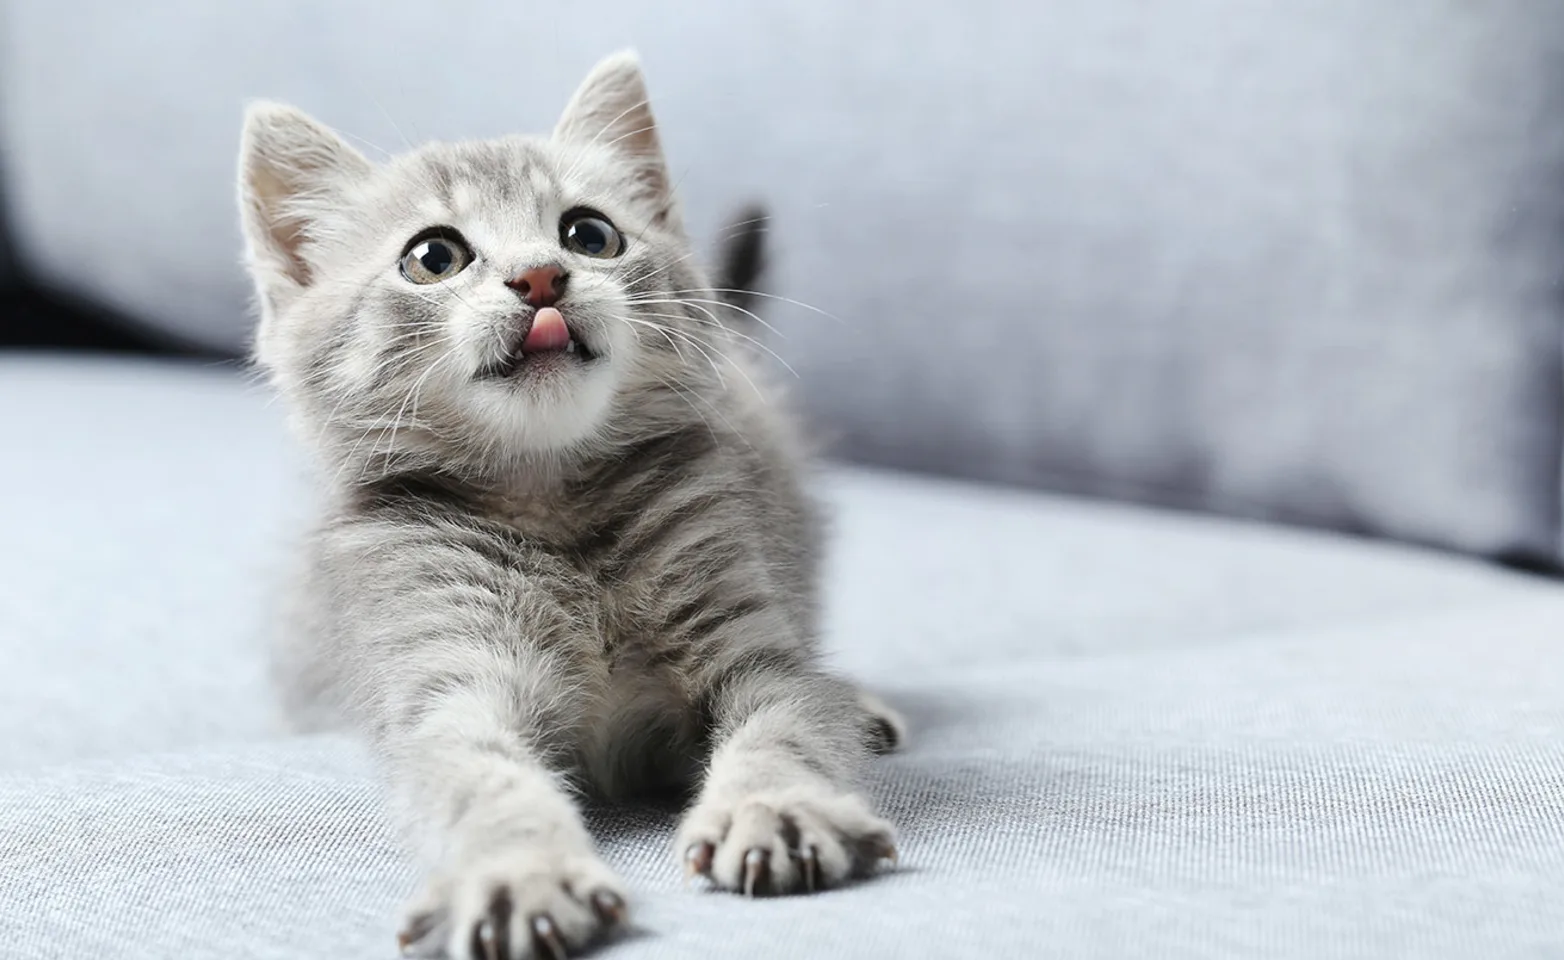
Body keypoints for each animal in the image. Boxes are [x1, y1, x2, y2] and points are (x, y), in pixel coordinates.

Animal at [237, 52, 907, 960]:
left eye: (589, 234)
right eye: (433, 256)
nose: (541, 275)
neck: (553, 508)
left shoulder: (756, 651)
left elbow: (790, 724)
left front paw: (776, 807)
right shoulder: (448, 682)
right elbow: (480, 778)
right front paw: (519, 871)